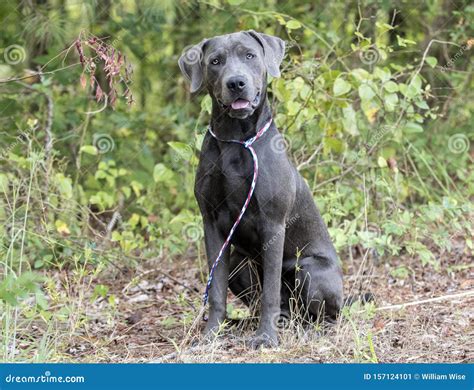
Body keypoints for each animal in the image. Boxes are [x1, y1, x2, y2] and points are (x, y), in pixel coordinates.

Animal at [178, 31, 344, 348]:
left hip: (310, 269)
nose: (236, 83)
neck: (236, 139)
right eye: (215, 61)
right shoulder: (212, 224)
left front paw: (266, 337)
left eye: (250, 55)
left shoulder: (273, 224)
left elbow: (270, 292)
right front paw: (210, 335)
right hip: (239, 262)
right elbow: (216, 291)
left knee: (322, 315)